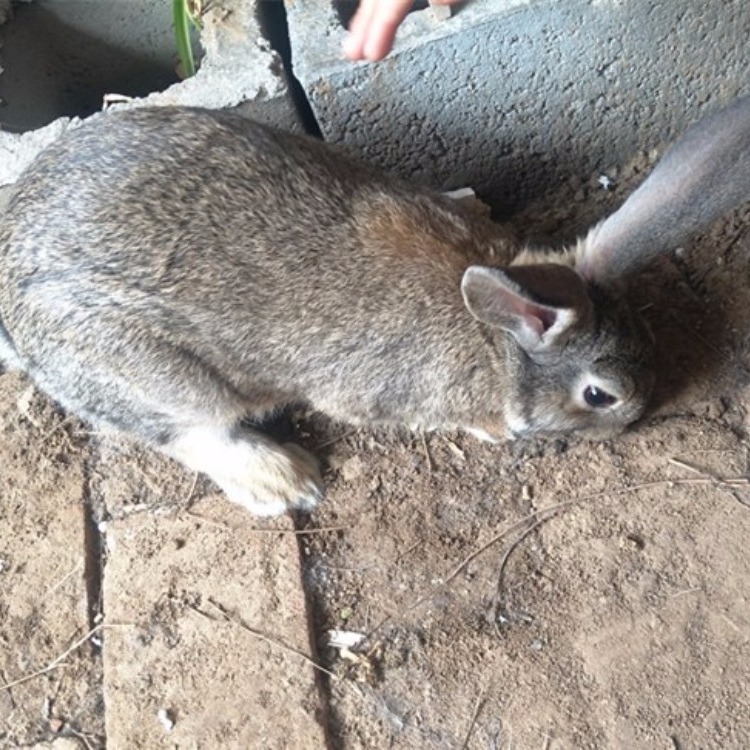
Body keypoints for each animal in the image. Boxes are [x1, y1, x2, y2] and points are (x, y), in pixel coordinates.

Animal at [0, 98, 748, 516]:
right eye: (599, 396)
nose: (639, 415)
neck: (496, 340)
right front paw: (498, 430)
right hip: (151, 373)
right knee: (191, 433)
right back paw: (284, 481)